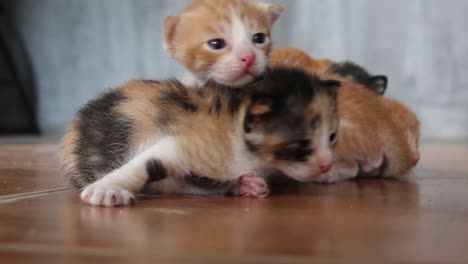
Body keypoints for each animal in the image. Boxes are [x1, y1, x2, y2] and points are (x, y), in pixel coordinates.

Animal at [60, 67, 340, 207]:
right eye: (302, 143)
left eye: (332, 137)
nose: (327, 163)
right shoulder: (192, 141)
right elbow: (148, 163)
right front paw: (106, 190)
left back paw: (243, 185)